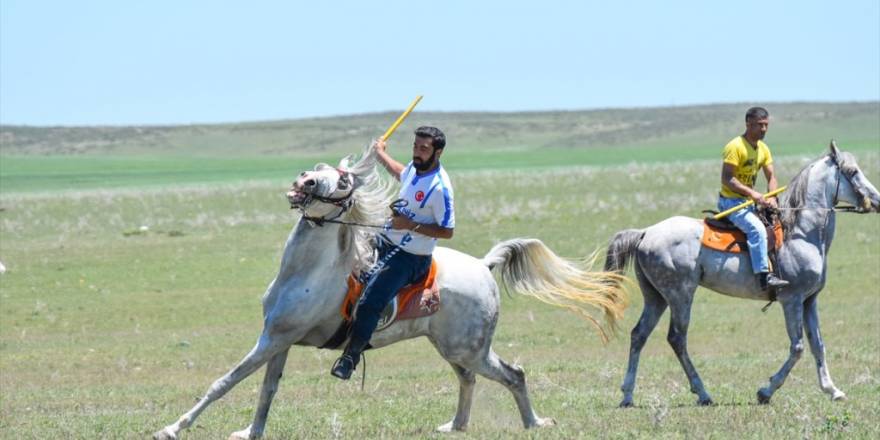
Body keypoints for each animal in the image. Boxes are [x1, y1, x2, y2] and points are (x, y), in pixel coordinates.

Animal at [155, 148, 628, 440]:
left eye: (342, 181)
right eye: (321, 168)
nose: (307, 180)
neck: (307, 272)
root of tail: (483, 265)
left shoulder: (273, 339)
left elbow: (224, 382)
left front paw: (172, 428)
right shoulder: (281, 340)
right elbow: (267, 391)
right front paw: (250, 432)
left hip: (469, 348)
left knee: (514, 374)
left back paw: (533, 423)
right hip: (451, 347)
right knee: (470, 379)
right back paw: (455, 425)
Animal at [604, 143, 880, 408]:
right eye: (852, 171)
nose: (877, 199)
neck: (801, 232)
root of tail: (646, 232)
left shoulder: (809, 300)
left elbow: (817, 345)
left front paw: (833, 390)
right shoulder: (791, 299)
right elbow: (798, 347)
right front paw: (765, 391)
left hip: (656, 297)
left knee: (639, 334)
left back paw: (628, 395)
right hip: (680, 294)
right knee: (677, 338)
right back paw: (702, 393)